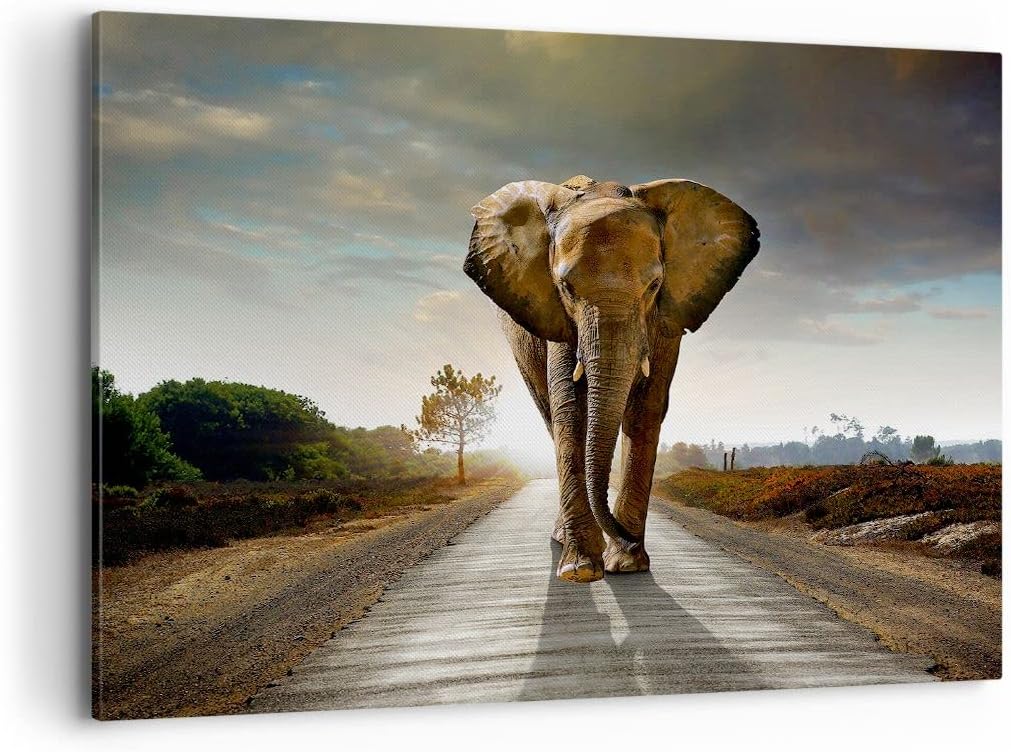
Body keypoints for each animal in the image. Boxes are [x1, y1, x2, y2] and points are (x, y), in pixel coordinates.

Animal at [463, 175, 759, 583]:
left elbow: (646, 408)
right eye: (566, 288)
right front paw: (582, 570)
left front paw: (628, 564)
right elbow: (571, 409)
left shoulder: (666, 317)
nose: (629, 540)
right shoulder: (556, 315)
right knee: (550, 414)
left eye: (654, 286)